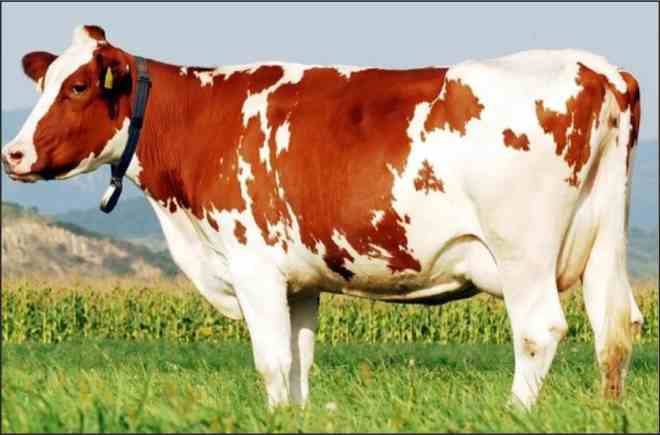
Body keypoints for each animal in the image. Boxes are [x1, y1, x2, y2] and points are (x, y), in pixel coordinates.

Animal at [2, 25, 644, 409]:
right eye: (44, 82)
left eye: (78, 86)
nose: (12, 154)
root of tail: (600, 69)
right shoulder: (300, 280)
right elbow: (299, 363)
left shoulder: (254, 267)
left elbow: (271, 362)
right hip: (604, 240)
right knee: (616, 326)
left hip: (521, 249)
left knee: (540, 328)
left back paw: (514, 412)